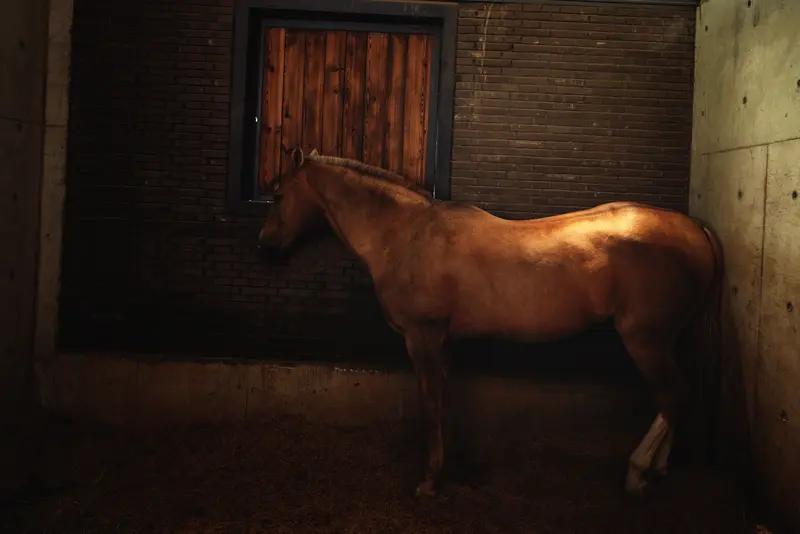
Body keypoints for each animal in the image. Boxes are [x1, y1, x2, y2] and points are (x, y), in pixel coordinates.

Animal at [257, 148, 723, 497]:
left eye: (278, 194)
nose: (265, 246)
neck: (407, 235)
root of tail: (695, 230)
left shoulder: (423, 338)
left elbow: (430, 404)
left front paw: (429, 481)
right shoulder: (443, 342)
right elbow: (444, 401)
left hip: (645, 338)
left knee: (672, 395)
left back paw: (639, 472)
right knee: (678, 396)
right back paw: (659, 468)